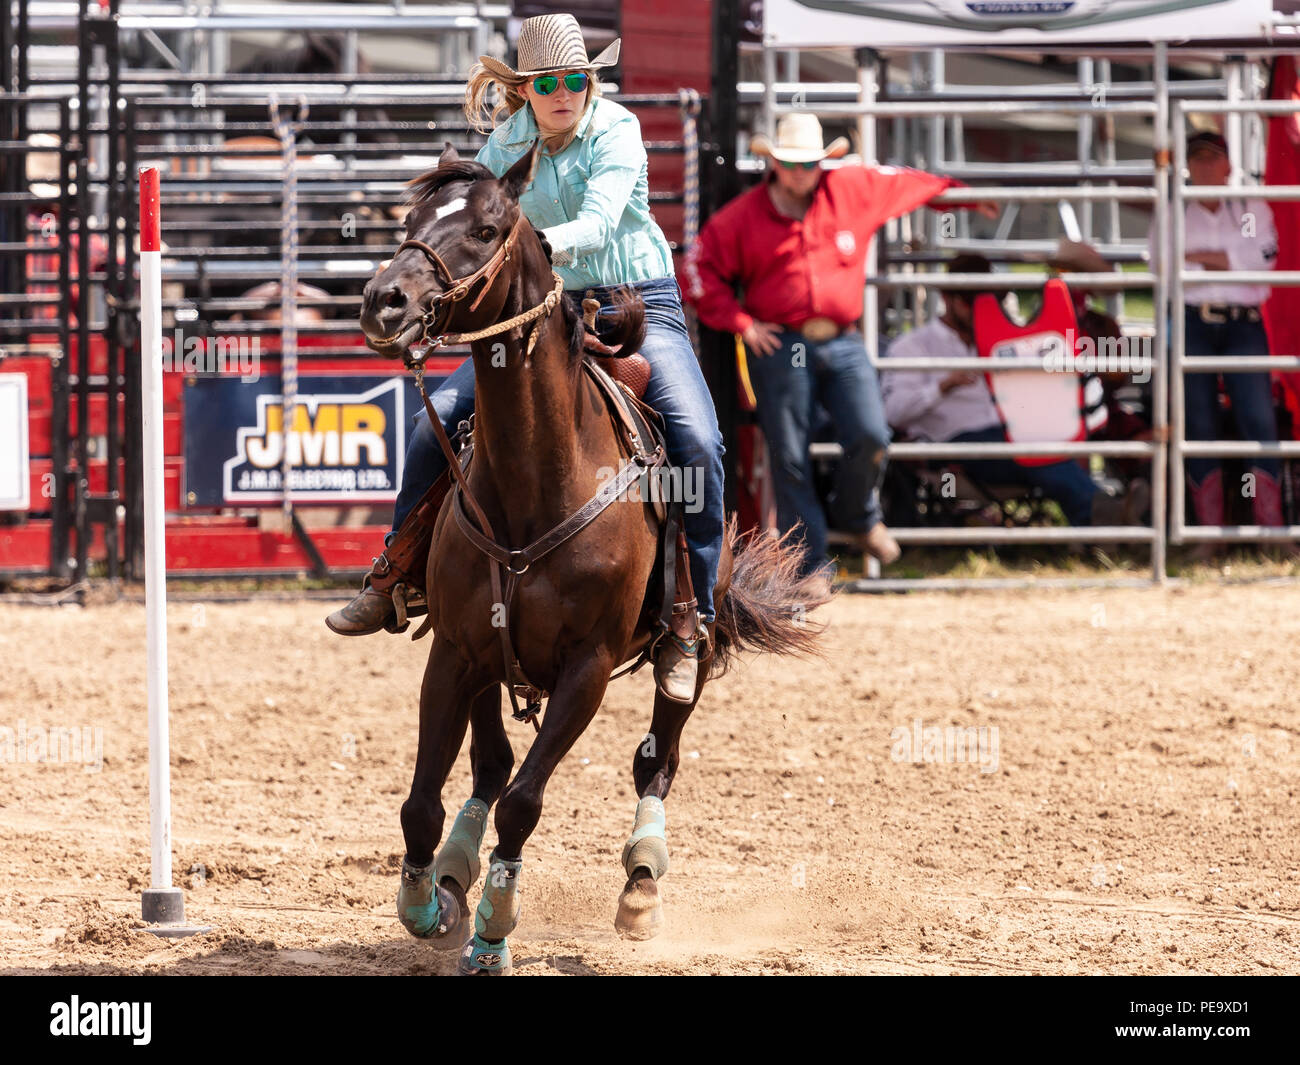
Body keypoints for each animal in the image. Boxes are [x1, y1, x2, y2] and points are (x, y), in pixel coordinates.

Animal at [358, 145, 821, 977]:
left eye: (485, 227)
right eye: (411, 218)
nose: (385, 300)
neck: (536, 479)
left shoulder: (589, 667)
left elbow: (525, 801)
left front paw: (494, 929)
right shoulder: (455, 650)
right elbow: (425, 799)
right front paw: (426, 901)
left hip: (689, 650)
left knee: (655, 759)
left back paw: (641, 884)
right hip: (488, 661)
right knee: (491, 762)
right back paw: (456, 872)